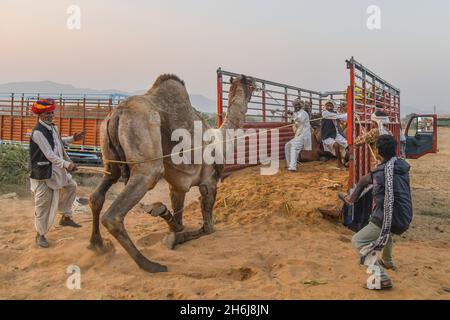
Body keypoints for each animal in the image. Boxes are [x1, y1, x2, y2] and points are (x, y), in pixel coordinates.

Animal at [89, 73, 255, 272]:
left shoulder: (177, 186)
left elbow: (179, 218)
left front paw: (164, 218)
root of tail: (117, 114)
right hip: (148, 164)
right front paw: (169, 231)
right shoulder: (210, 182)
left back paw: (98, 245)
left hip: (109, 160)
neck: (222, 139)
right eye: (252, 84)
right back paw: (150, 265)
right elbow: (208, 228)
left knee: (98, 194)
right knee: (114, 215)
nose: (256, 85)